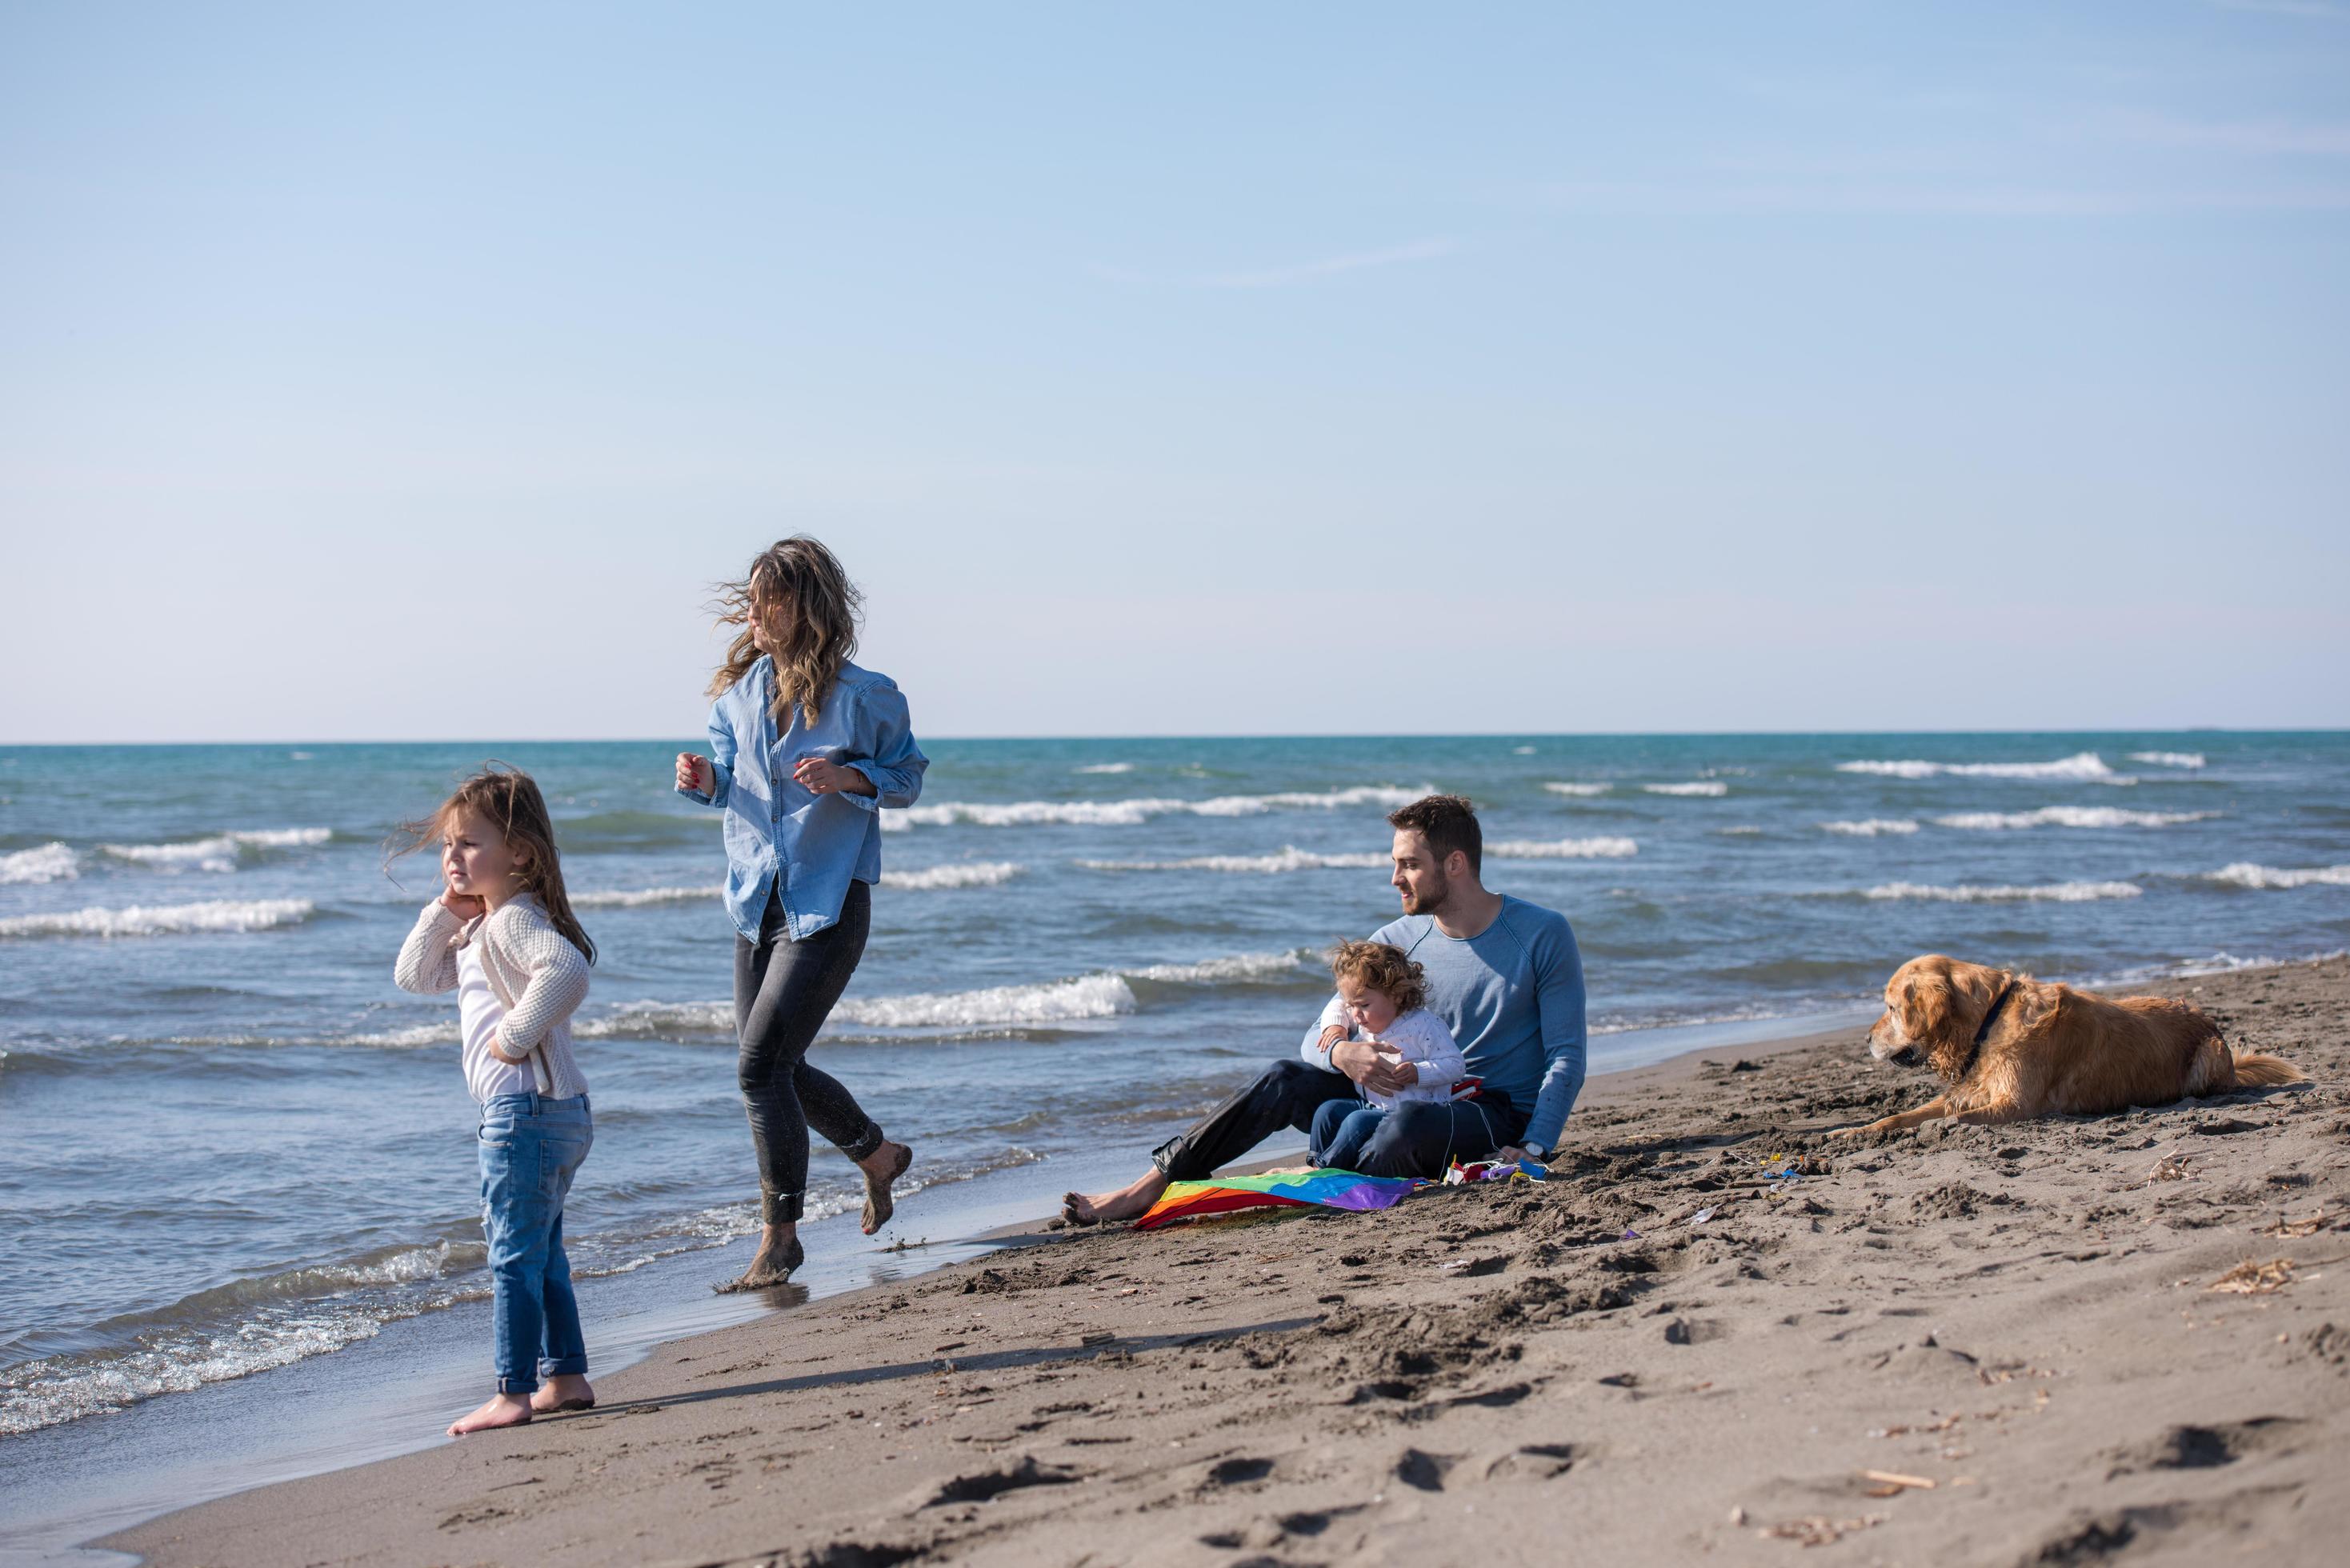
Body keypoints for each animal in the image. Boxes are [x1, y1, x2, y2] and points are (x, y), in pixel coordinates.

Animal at [1824, 950, 2303, 1133]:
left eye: (1890, 1008)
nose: (1865, 1038)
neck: (1990, 1020)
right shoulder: (1972, 1090)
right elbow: (1902, 1116)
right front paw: (1854, 1132)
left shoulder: (2016, 1104)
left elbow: (1953, 1120)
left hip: (2208, 1054)